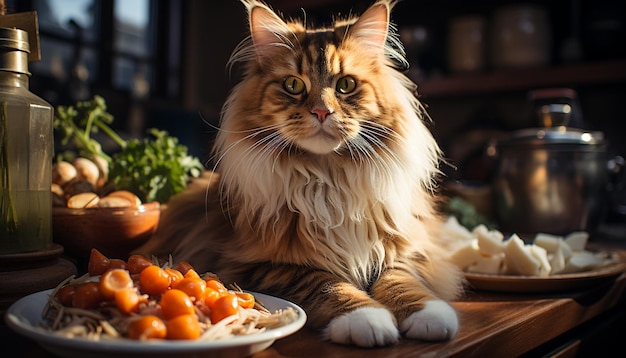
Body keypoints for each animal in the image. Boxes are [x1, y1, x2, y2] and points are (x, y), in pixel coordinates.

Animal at [139, 0, 466, 346]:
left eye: (346, 85)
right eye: (293, 85)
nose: (322, 112)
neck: (329, 178)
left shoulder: (402, 247)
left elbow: (402, 280)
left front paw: (429, 316)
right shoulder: (262, 264)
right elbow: (326, 284)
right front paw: (366, 319)